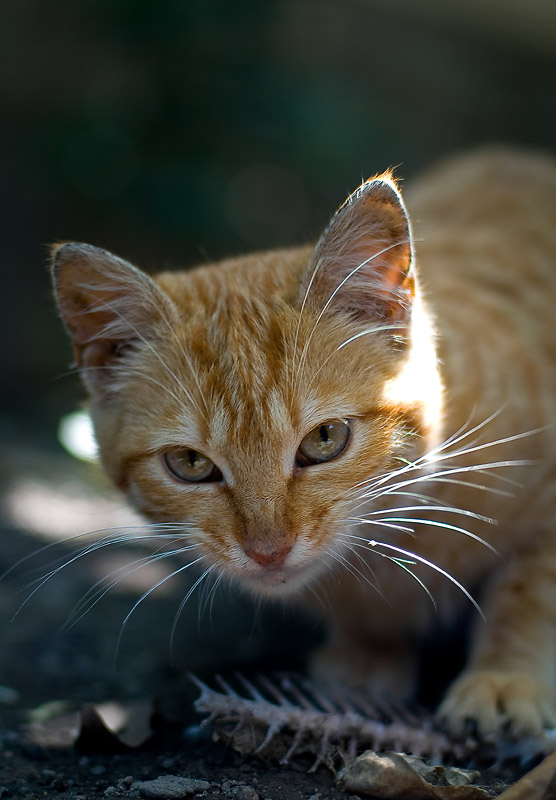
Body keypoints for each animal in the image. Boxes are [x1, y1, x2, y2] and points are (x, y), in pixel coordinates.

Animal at [50, 148, 556, 736]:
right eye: (190, 463)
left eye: (325, 438)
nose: (268, 551)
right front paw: (366, 655)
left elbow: (529, 592)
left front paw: (505, 679)